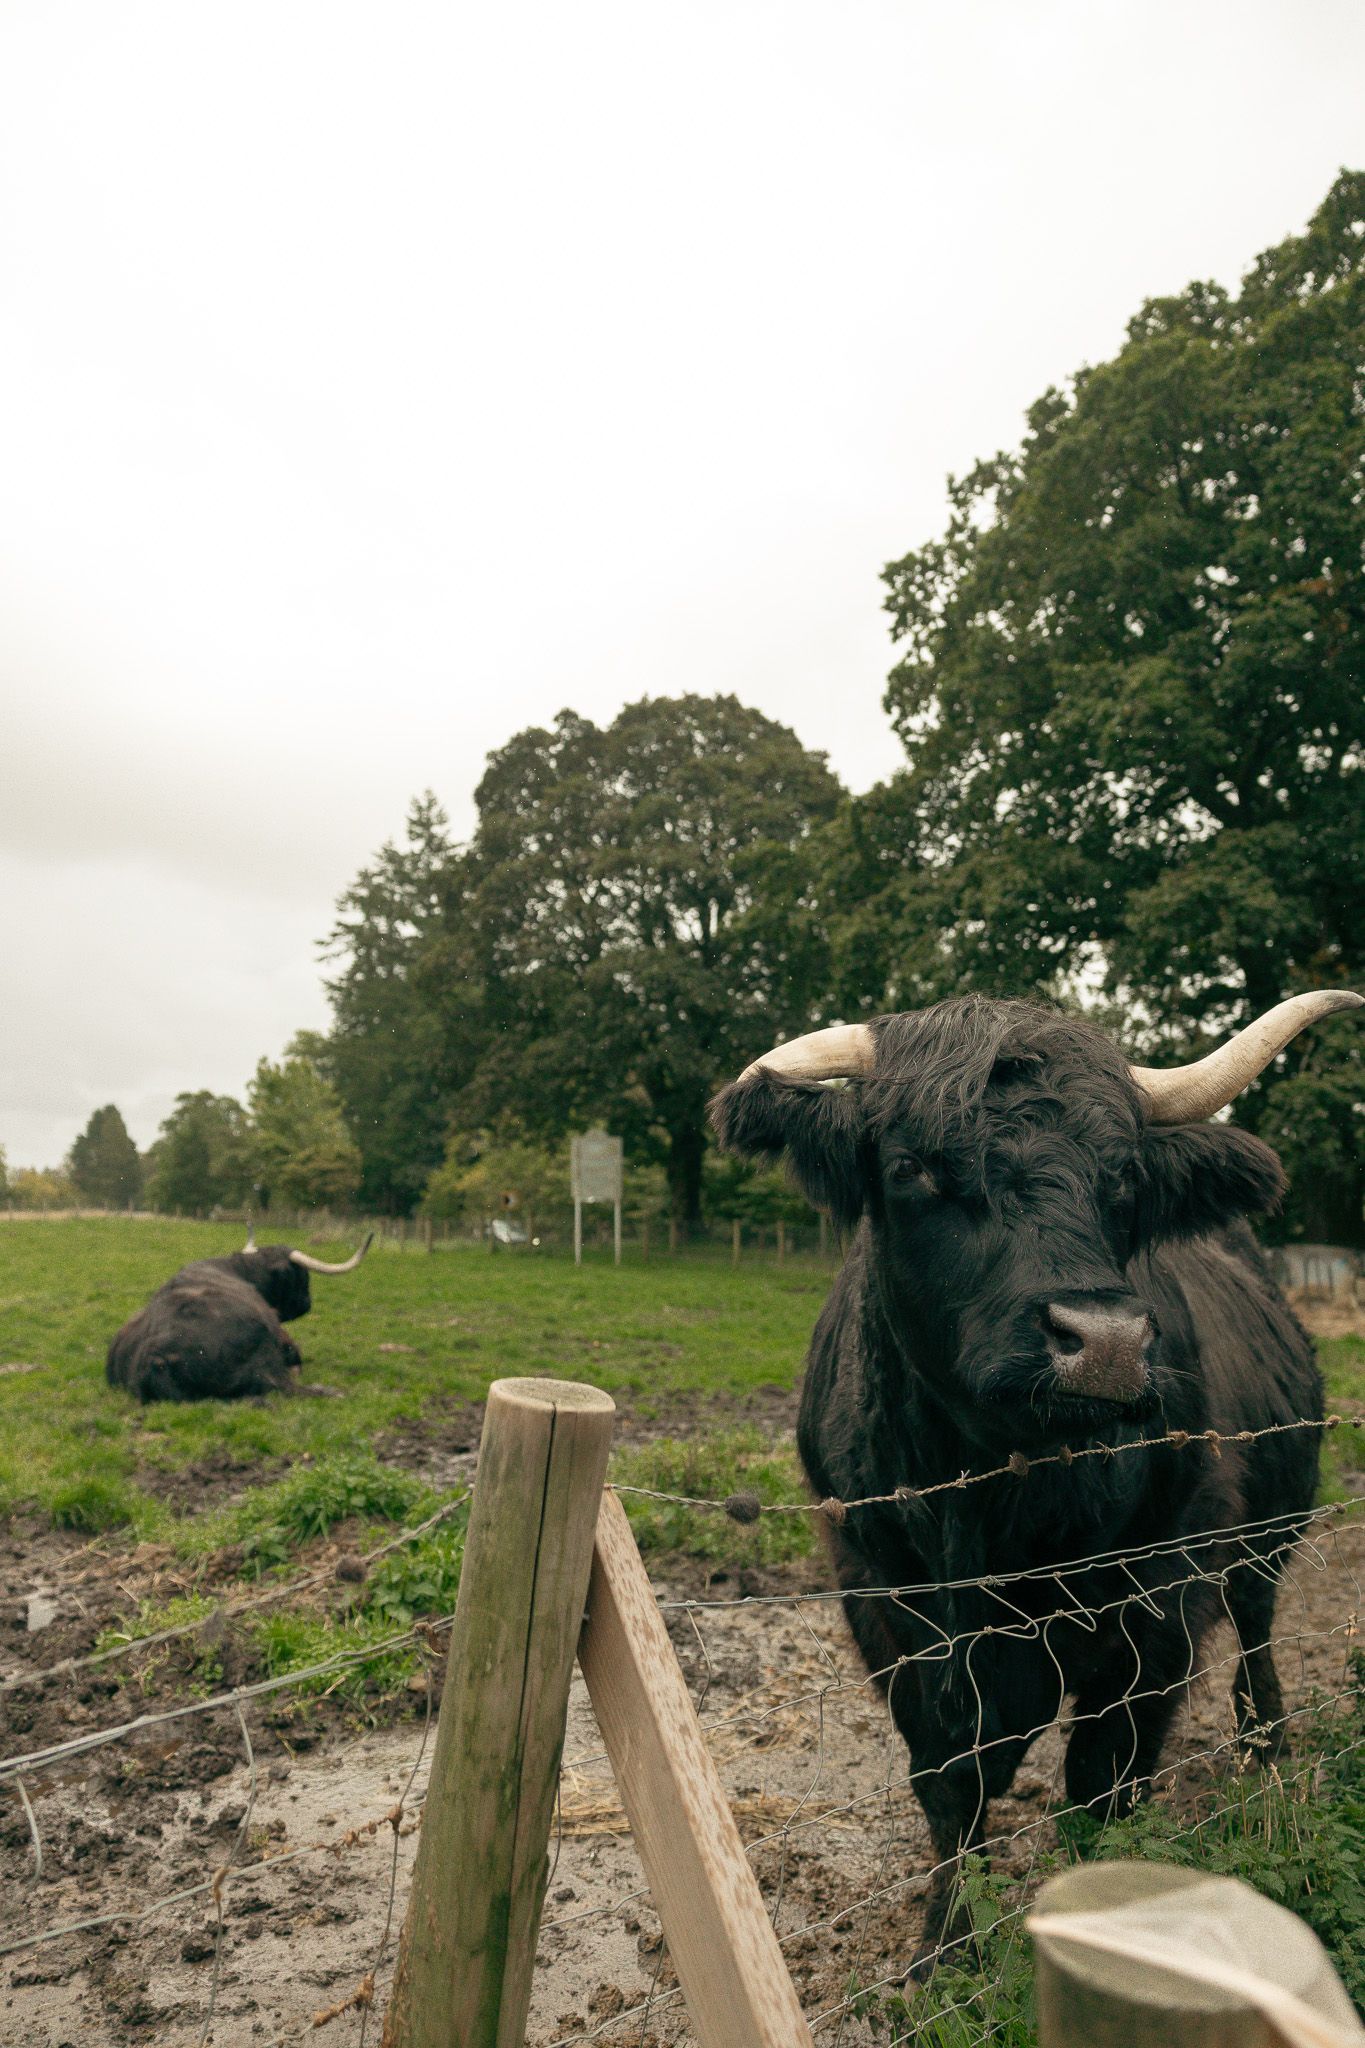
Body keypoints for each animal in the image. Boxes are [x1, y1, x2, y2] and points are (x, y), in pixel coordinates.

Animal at [711, 988, 1361, 1969]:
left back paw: (1266, 1752)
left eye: (1123, 1177)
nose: (1103, 1343)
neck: (986, 1500)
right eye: (912, 1167)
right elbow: (951, 1780)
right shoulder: (881, 1596)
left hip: (1270, 1533)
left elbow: (1102, 1782)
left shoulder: (1154, 1609)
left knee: (1255, 1631)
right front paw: (944, 1951)